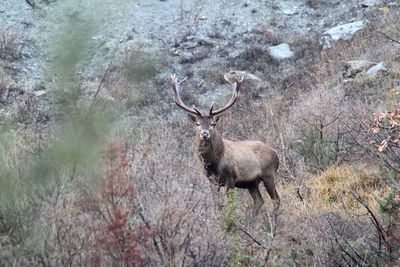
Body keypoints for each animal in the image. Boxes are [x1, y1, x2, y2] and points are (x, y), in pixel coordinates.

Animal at [170, 74, 280, 216]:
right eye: (198, 124)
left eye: (213, 124)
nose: (204, 133)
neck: (214, 164)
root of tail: (276, 154)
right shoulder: (211, 181)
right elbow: (217, 205)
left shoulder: (231, 177)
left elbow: (230, 205)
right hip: (251, 183)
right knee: (259, 201)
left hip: (269, 174)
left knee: (276, 199)